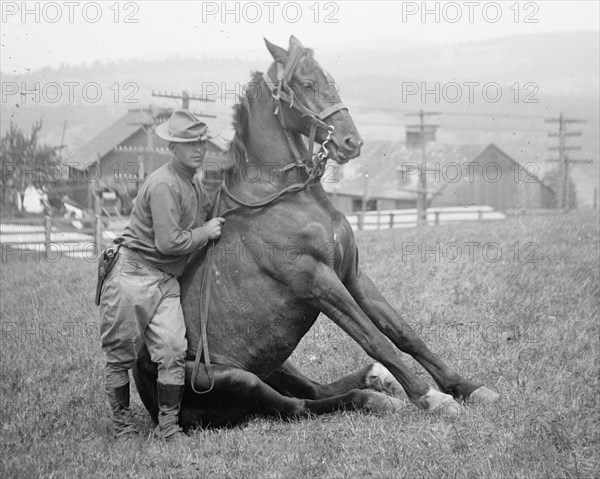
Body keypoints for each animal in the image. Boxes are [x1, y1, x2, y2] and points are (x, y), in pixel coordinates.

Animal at [134, 36, 500, 428]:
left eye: (330, 80)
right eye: (307, 84)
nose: (352, 141)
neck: (284, 197)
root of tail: (153, 402)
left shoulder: (352, 274)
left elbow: (402, 333)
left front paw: (465, 387)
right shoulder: (318, 281)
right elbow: (375, 339)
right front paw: (430, 397)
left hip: (277, 363)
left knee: (313, 390)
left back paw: (377, 379)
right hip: (236, 378)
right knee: (298, 406)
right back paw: (374, 398)